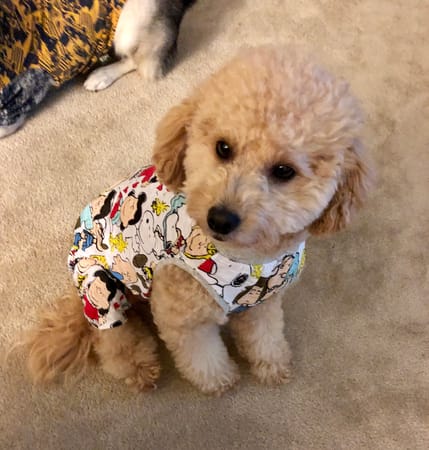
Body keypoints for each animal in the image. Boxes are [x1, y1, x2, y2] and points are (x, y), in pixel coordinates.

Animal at [24, 45, 373, 395]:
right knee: (114, 340)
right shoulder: (183, 317)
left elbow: (265, 337)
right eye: (223, 147)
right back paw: (139, 368)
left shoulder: (263, 302)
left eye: (284, 171)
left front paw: (271, 366)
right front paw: (220, 382)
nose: (220, 219)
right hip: (101, 288)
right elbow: (202, 357)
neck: (242, 259)